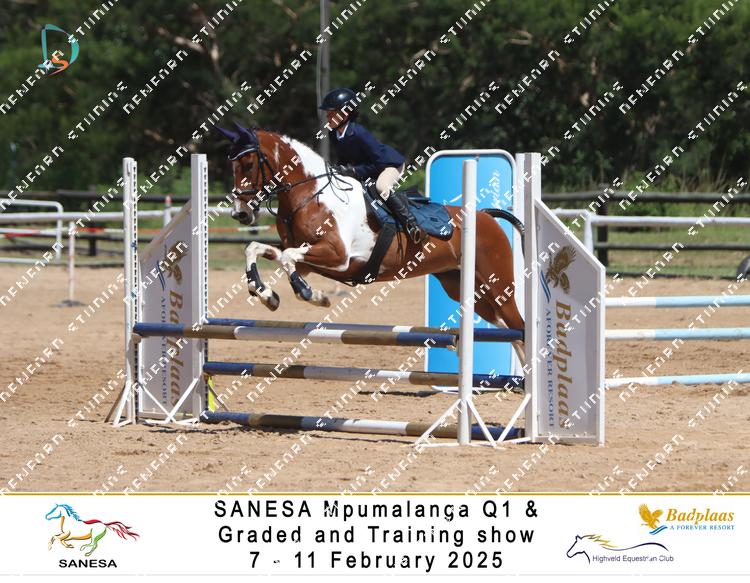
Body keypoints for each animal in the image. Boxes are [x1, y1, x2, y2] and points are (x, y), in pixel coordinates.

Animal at [215, 123, 524, 353]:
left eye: (248, 164)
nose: (240, 214)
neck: (309, 195)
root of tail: (485, 215)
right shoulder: (309, 259)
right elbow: (257, 249)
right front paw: (267, 294)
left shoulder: (337, 256)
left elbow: (288, 259)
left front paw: (311, 294)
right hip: (464, 288)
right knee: (509, 330)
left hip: (498, 286)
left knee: (519, 327)